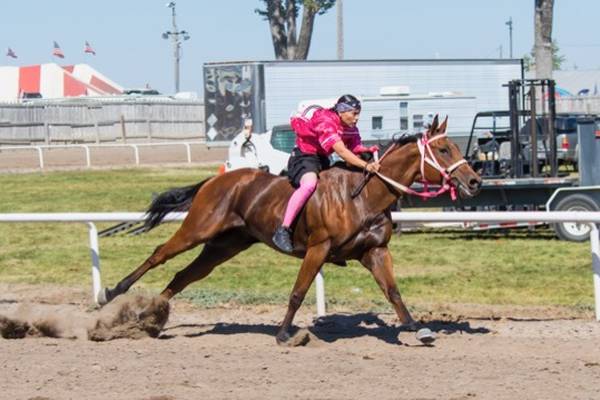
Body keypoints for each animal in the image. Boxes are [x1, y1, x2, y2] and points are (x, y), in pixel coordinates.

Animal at [98, 115, 482, 344]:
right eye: (443, 149)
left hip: (225, 245)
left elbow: (393, 291)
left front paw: (417, 327)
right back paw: (113, 293)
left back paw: (149, 317)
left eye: (455, 146)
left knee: (184, 276)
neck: (364, 195)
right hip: (199, 229)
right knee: (159, 255)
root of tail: (217, 179)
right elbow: (298, 292)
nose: (475, 182)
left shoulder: (375, 251)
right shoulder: (318, 248)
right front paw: (284, 333)